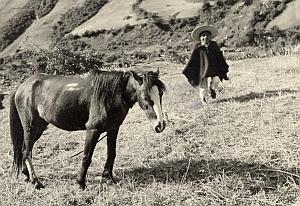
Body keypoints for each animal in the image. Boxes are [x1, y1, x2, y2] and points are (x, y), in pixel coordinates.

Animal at [9, 69, 166, 190]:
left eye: (160, 94)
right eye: (145, 96)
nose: (160, 125)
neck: (111, 94)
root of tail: (21, 86)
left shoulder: (113, 128)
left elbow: (111, 153)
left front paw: (109, 177)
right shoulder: (93, 130)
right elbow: (87, 157)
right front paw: (81, 183)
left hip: (39, 127)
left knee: (24, 150)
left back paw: (27, 176)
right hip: (31, 126)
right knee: (26, 151)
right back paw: (36, 182)